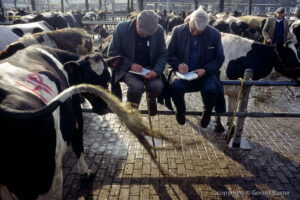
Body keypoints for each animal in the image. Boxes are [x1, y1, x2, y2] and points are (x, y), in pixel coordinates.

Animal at [0, 44, 122, 199]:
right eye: (87, 79)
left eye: (107, 78)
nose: (105, 107)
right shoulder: (77, 118)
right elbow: (78, 146)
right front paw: (85, 173)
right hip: (48, 181)